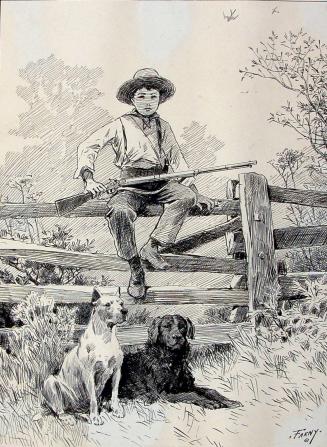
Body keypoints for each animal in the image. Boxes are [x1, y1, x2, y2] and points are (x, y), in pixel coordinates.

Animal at [104, 316, 242, 410]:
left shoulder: (187, 386)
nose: (177, 337)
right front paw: (210, 402)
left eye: (182, 326)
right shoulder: (163, 393)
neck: (172, 361)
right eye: (166, 326)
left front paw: (228, 401)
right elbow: (191, 395)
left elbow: (210, 391)